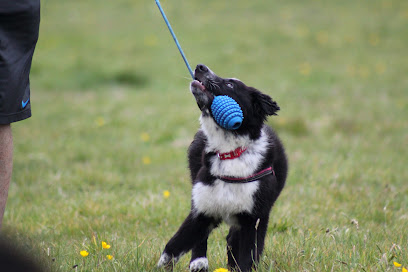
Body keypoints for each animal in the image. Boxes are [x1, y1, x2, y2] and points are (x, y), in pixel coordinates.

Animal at [158, 64, 288, 272]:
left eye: (230, 84)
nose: (200, 66)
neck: (230, 153)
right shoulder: (202, 210)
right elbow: (175, 245)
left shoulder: (255, 218)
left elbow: (248, 255)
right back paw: (199, 262)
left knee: (232, 240)